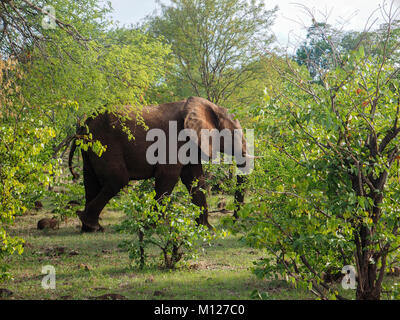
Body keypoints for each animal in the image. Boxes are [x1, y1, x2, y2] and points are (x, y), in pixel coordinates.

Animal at [68, 96, 250, 231]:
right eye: (234, 133)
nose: (233, 221)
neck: (209, 106)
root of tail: (85, 123)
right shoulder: (174, 140)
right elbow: (168, 177)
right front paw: (152, 227)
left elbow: (195, 179)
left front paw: (207, 229)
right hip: (104, 143)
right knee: (117, 179)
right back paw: (91, 224)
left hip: (89, 146)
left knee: (90, 181)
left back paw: (90, 227)